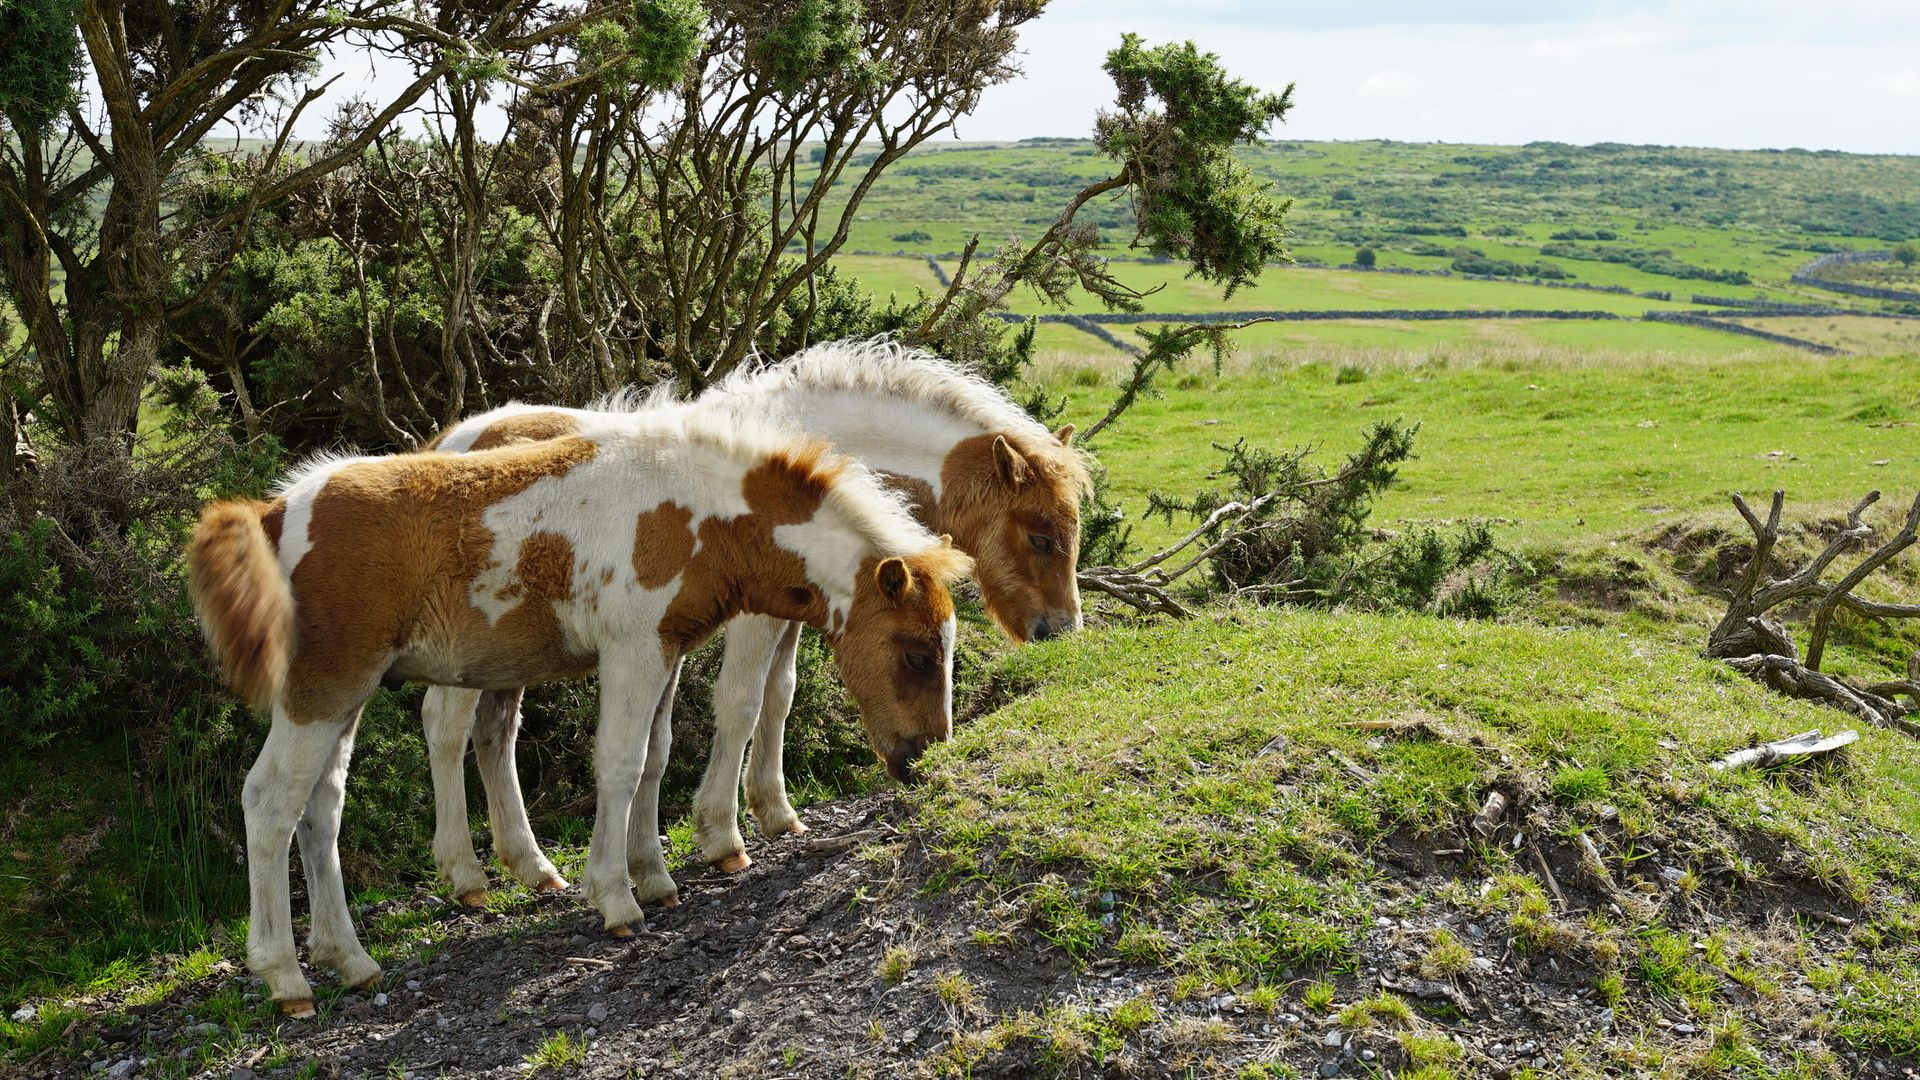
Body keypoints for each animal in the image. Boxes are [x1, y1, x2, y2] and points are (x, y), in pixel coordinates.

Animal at [186, 404, 971, 1016]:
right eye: (917, 654)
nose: (925, 753)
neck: (692, 509)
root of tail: (271, 513)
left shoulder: (667, 648)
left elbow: (655, 756)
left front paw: (655, 877)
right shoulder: (633, 647)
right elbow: (621, 763)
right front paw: (618, 900)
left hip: (349, 694)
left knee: (322, 806)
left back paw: (349, 959)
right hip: (321, 689)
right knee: (270, 801)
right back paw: (287, 978)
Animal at [418, 340, 1092, 908]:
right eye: (1041, 536)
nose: (1062, 631)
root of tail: (452, 440)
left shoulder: (796, 610)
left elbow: (780, 695)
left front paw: (775, 811)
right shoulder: (754, 615)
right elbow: (741, 702)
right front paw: (722, 837)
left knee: (496, 734)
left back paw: (533, 868)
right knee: (446, 728)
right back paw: (467, 876)